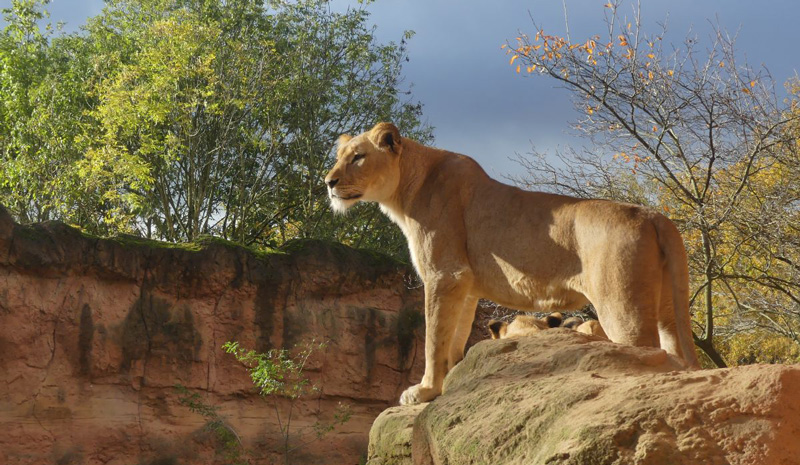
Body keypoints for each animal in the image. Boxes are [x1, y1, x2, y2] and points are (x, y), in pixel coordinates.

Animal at [324, 121, 700, 404]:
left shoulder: (444, 274)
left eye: (358, 157)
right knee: (676, 350)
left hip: (623, 309)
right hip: (668, 308)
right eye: (339, 156)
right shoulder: (465, 284)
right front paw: (449, 384)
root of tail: (653, 215)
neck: (404, 190)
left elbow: (433, 337)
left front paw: (424, 391)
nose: (328, 182)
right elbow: (455, 336)